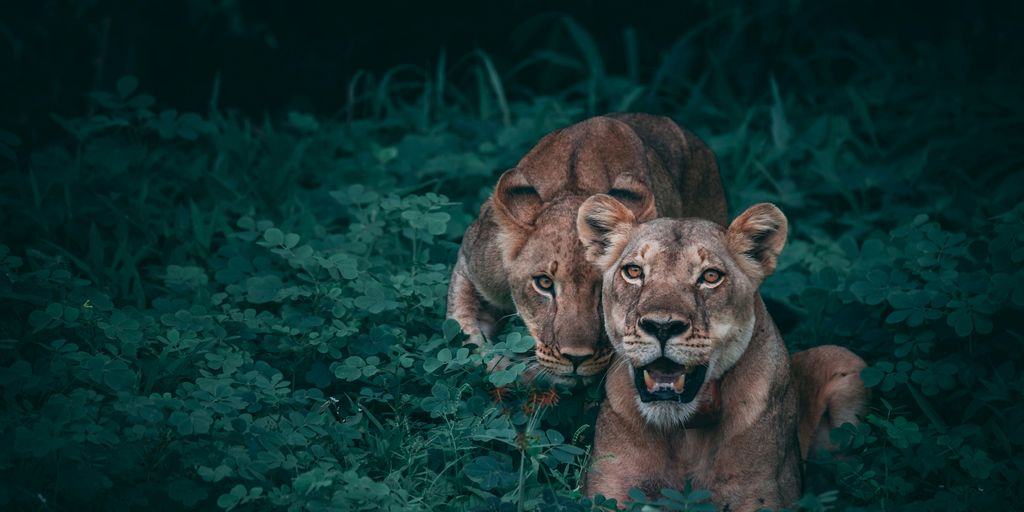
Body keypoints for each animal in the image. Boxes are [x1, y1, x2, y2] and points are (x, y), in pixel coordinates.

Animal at [576, 195, 867, 510]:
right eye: (633, 271)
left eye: (710, 276)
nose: (662, 326)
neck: (684, 432)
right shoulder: (609, 488)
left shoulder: (761, 493)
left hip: (846, 360)